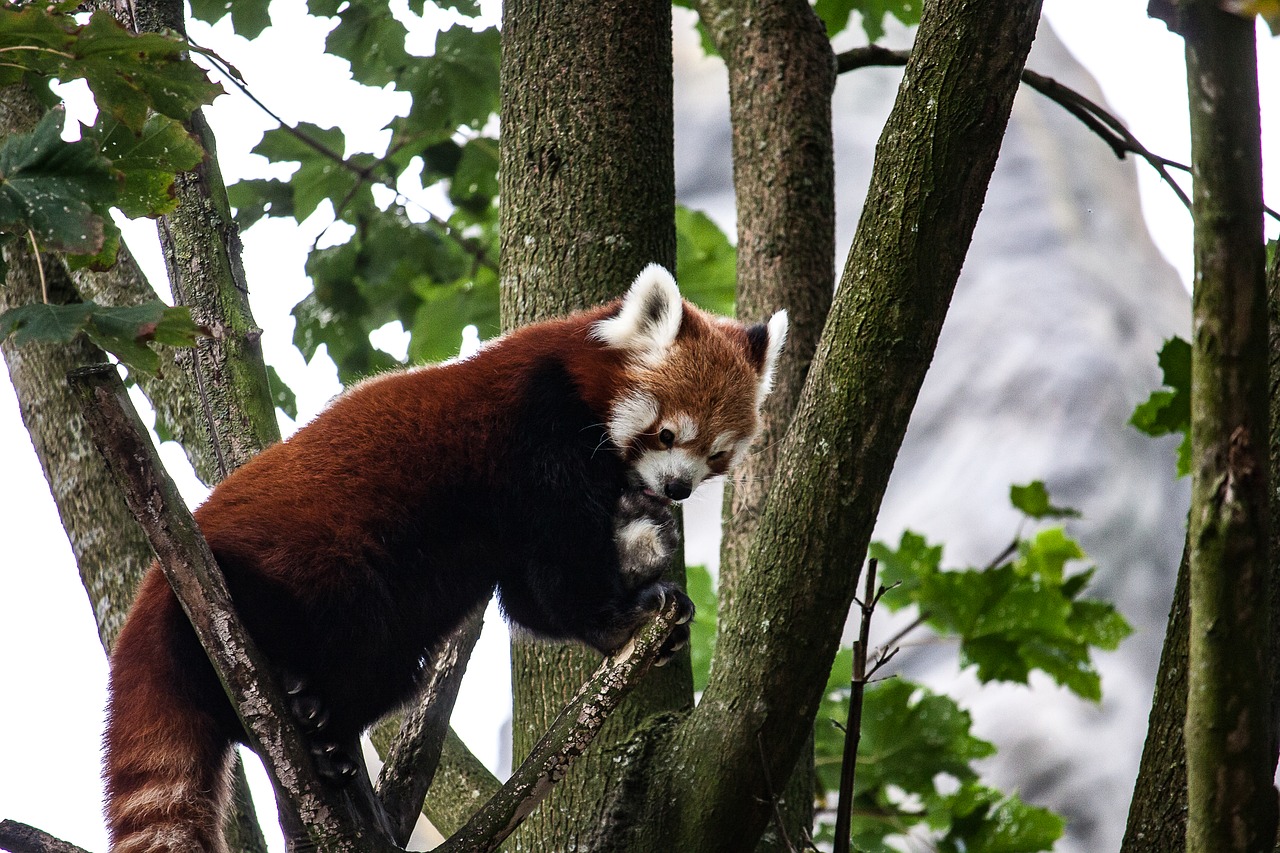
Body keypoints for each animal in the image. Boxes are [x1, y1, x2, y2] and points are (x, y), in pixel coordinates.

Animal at [102, 262, 778, 845]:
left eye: (717, 454)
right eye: (667, 434)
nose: (678, 488)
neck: (575, 380)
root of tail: (154, 590)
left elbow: (532, 600)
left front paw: (647, 562)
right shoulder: (538, 439)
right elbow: (560, 577)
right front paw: (622, 617)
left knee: (389, 659)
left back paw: (324, 725)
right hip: (278, 571)